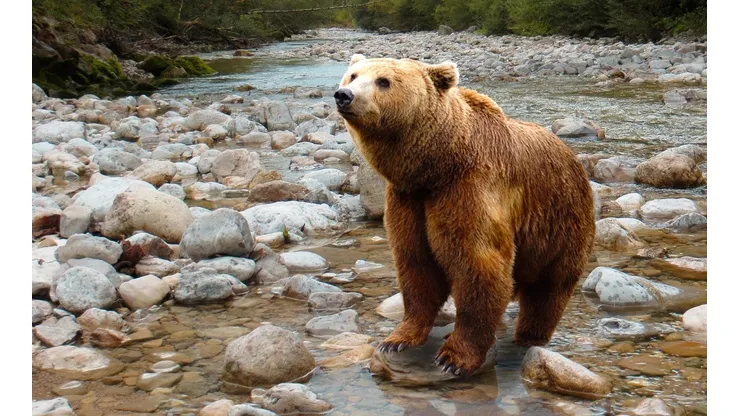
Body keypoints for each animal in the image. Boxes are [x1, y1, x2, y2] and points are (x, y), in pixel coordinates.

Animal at [334, 54, 595, 376]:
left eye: (383, 81)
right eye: (353, 75)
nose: (344, 95)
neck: (437, 165)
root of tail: (574, 157)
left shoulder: (469, 189)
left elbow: (478, 264)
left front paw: (454, 357)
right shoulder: (409, 200)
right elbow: (415, 264)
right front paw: (397, 339)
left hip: (560, 221)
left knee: (548, 289)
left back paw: (529, 336)